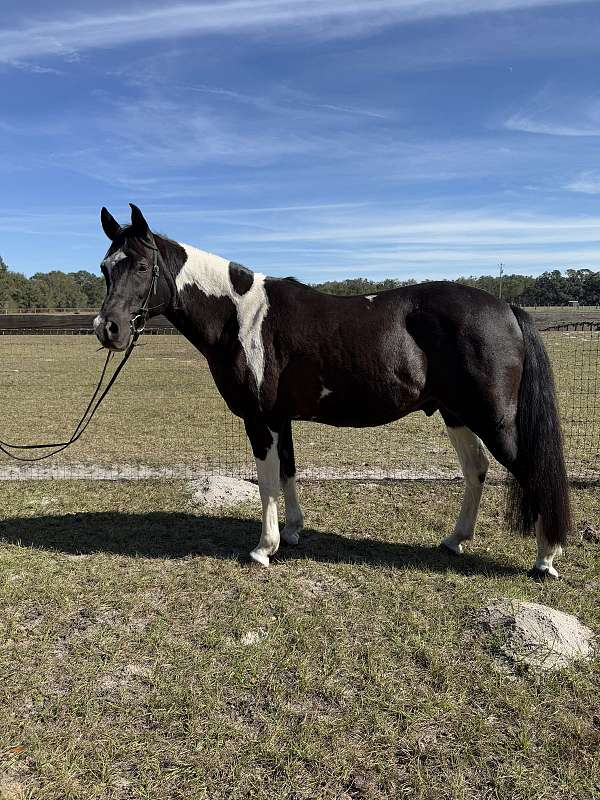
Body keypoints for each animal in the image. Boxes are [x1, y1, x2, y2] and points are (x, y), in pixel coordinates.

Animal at [95, 202, 572, 576]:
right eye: (104, 268)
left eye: (141, 266)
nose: (108, 328)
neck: (239, 316)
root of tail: (505, 307)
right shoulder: (280, 419)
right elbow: (287, 473)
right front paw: (291, 533)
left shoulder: (260, 420)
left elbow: (266, 481)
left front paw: (263, 549)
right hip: (456, 414)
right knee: (476, 470)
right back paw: (455, 540)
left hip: (494, 419)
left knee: (533, 471)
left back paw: (545, 559)